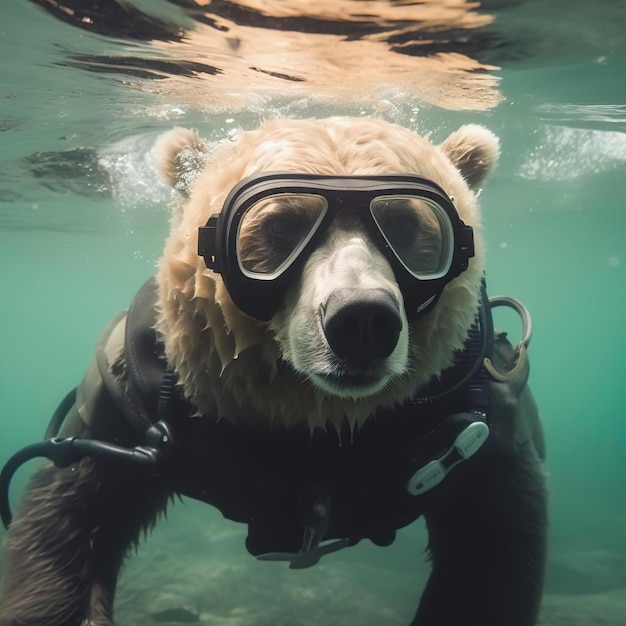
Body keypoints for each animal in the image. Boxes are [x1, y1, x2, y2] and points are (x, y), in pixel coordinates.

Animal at [0, 116, 544, 620]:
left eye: (405, 223)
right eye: (281, 224)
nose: (362, 320)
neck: (312, 416)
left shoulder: (490, 410)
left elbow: (494, 548)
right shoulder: (128, 391)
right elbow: (70, 517)